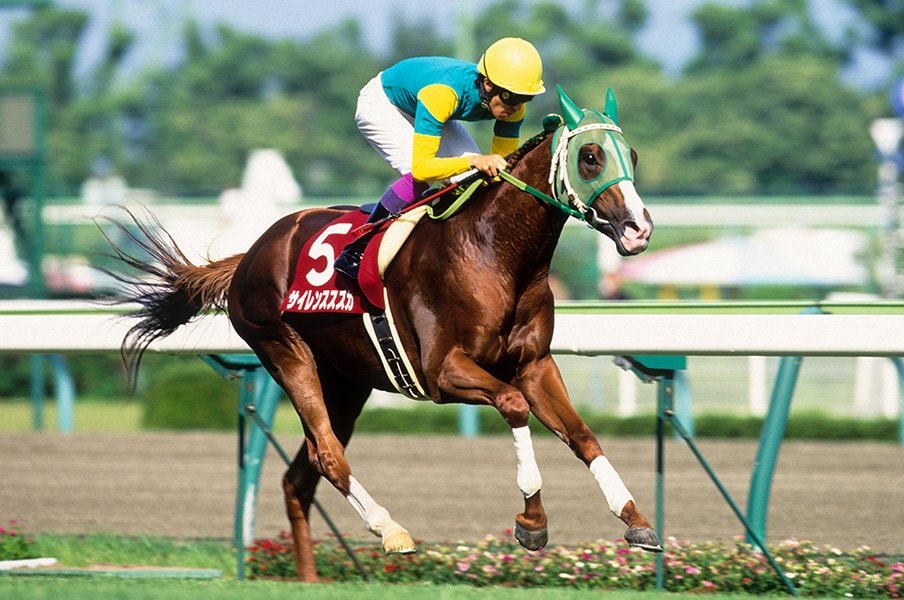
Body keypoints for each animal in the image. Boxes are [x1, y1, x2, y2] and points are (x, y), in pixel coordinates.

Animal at [109, 84, 656, 580]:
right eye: (590, 157)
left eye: (630, 154)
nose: (639, 229)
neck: (496, 252)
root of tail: (251, 253)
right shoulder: (443, 373)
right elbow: (513, 405)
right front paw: (532, 521)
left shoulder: (535, 365)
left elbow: (581, 434)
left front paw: (635, 519)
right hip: (284, 351)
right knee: (327, 454)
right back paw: (391, 530)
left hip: (346, 382)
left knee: (299, 477)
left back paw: (309, 579)